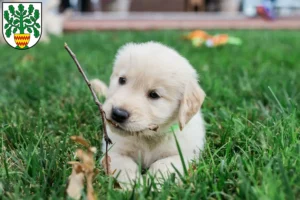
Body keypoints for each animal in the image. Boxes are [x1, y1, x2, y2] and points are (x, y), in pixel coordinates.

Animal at [90, 41, 205, 188]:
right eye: (122, 80)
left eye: (154, 94)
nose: (118, 113)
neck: (149, 137)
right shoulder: (113, 152)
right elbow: (126, 166)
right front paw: (134, 186)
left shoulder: (184, 156)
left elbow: (162, 165)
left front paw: (152, 185)